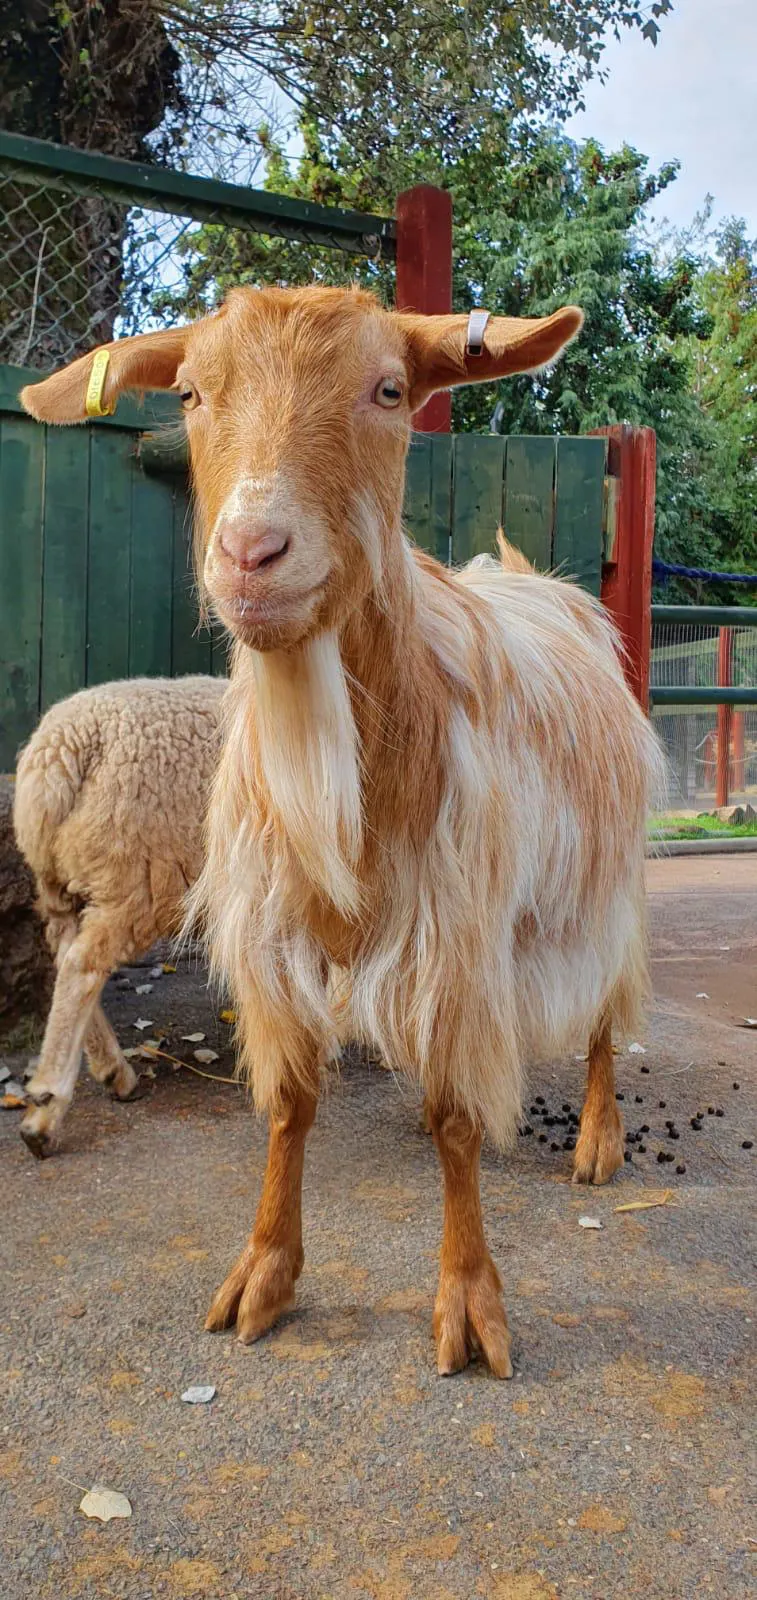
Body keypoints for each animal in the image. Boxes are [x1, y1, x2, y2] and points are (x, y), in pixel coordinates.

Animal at [21, 288, 663, 1377]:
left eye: (390, 391)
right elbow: (290, 1103)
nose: (250, 555)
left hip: (601, 882)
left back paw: (597, 1137)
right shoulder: (273, 930)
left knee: (602, 1015)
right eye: (189, 393)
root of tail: (531, 576)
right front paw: (265, 1275)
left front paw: (469, 1303)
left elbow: (458, 1120)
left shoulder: (460, 936)